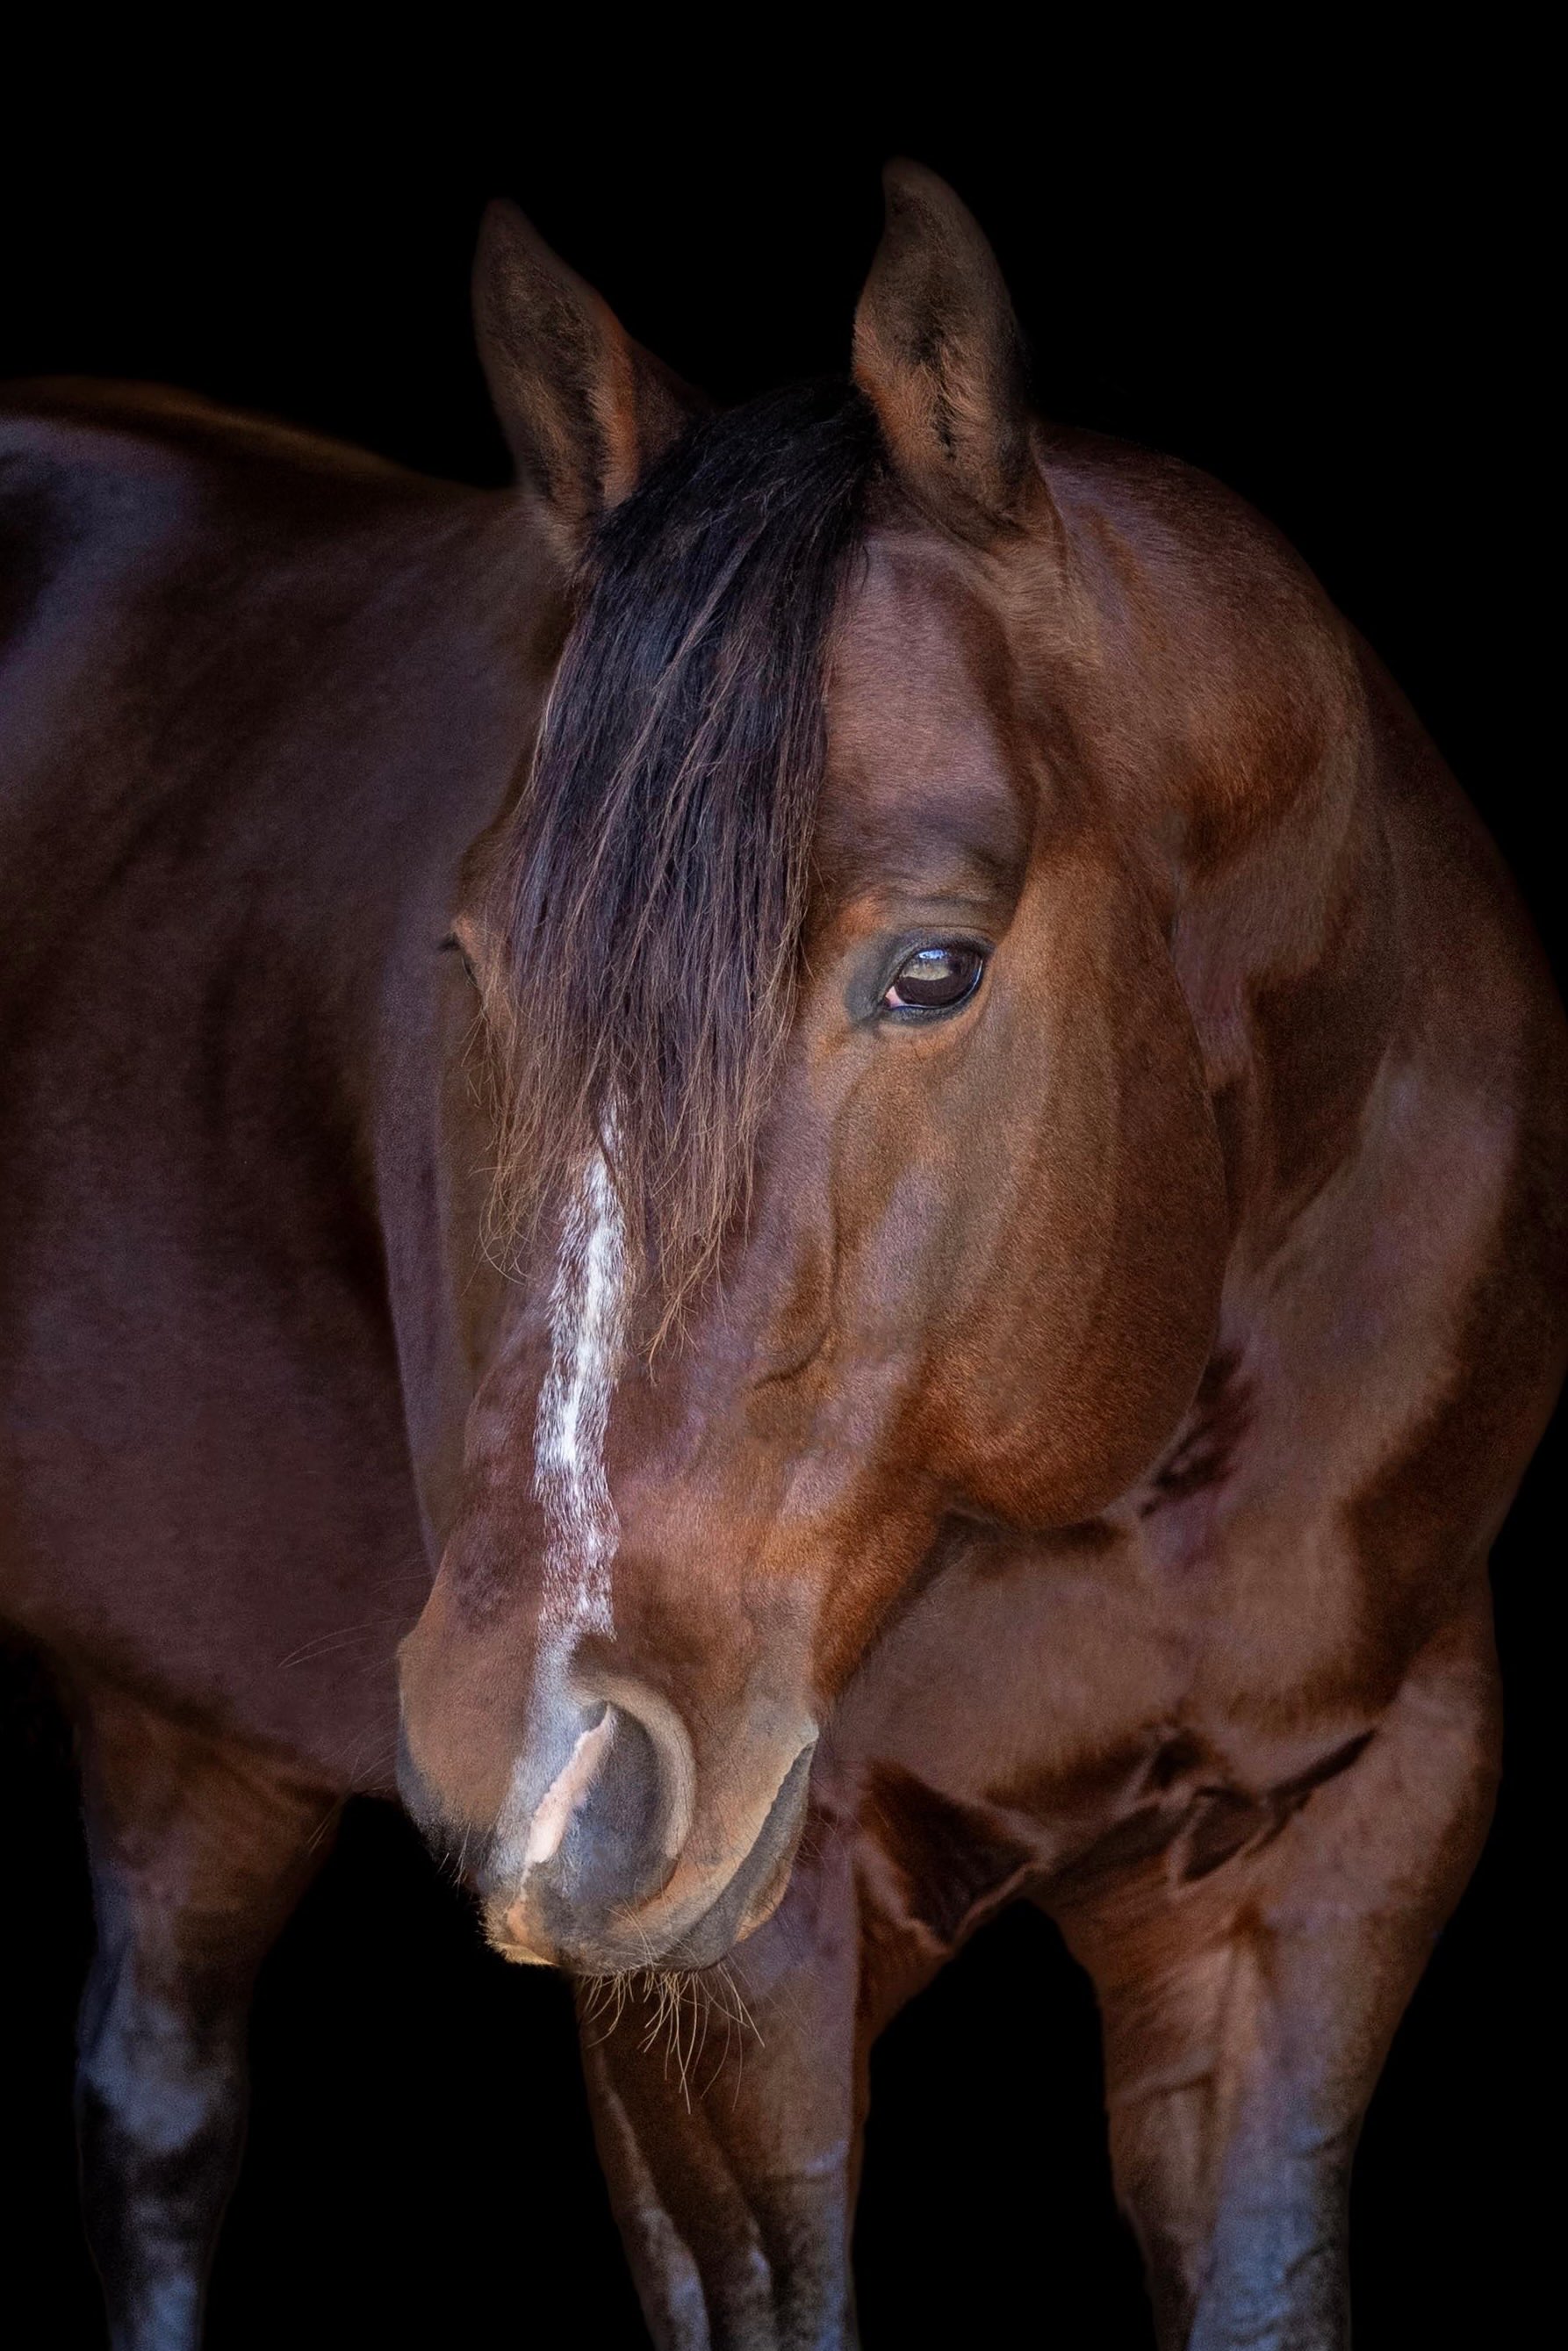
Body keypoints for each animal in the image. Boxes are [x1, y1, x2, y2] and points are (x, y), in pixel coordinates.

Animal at [1, 163, 1560, 2351]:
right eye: (471, 959)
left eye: (931, 968)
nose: (538, 1761)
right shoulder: (731, 1974)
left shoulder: (1328, 1859)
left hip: (185, 1716)